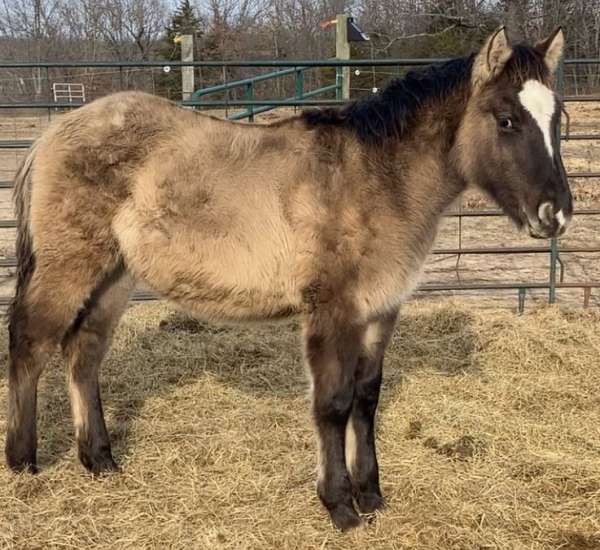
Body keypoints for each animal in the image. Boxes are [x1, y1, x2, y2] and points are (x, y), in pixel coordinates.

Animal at [7, 28, 572, 532]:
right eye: (506, 120)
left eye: (558, 119)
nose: (557, 214)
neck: (374, 178)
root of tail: (51, 135)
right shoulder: (333, 312)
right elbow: (333, 404)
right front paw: (340, 506)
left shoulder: (381, 310)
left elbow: (366, 398)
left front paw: (372, 496)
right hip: (70, 266)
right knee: (31, 343)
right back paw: (23, 460)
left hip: (115, 276)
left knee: (84, 353)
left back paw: (99, 459)